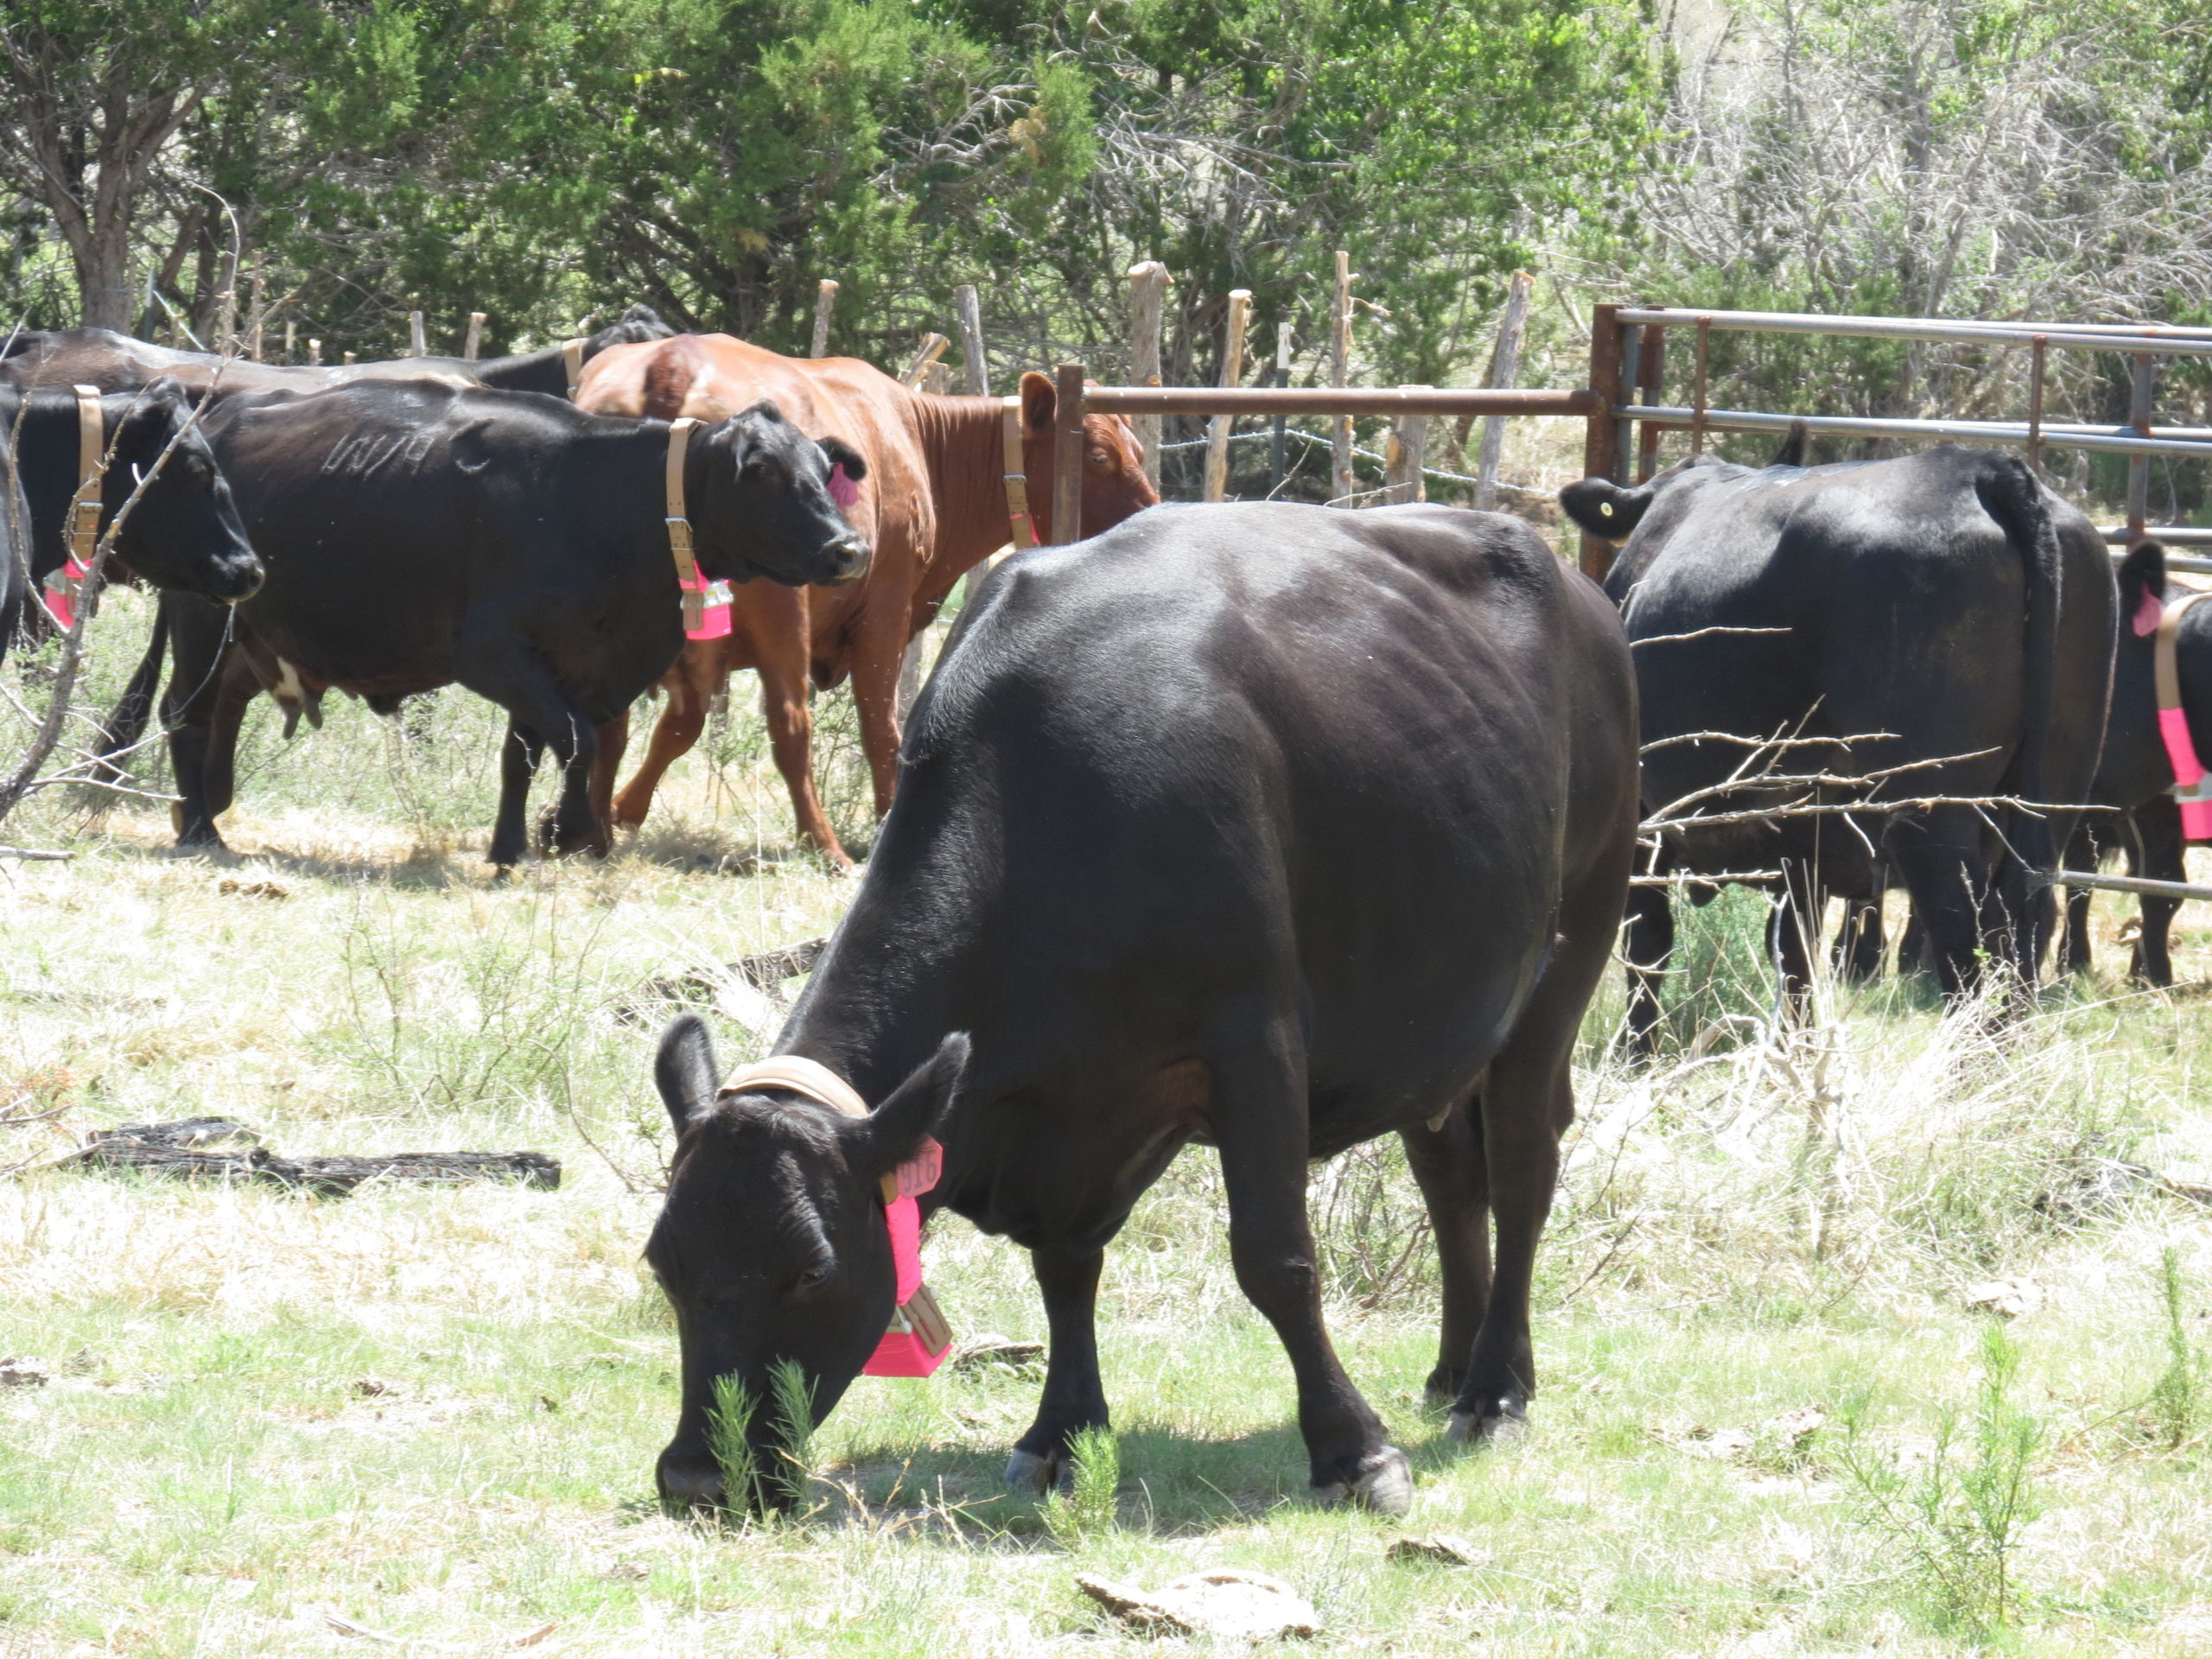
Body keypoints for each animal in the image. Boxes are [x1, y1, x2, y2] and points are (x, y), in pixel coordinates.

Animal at [122, 381, 867, 866]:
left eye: (821, 467)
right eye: (762, 470)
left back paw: (203, 806)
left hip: (254, 633)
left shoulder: (557, 662)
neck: (603, 504)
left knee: (225, 706)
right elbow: (577, 740)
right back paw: (201, 832)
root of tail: (217, 415)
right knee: (185, 711)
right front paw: (567, 830)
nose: (850, 548)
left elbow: (524, 753)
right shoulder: (492, 652)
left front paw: (509, 848)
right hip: (202, 610)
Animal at [573, 334, 1157, 864]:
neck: (919, 439)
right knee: (790, 722)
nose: (1154, 514)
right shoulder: (886, 608)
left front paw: (625, 809)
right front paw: (889, 817)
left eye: (1139, 450)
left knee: (614, 720)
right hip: (783, 609)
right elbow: (881, 724)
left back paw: (590, 830)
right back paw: (824, 844)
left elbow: (679, 725)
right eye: (1098, 456)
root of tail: (674, 362)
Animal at [641, 501, 1640, 1517]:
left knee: (1521, 1168)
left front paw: (1353, 1449)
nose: (696, 1475)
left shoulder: (1255, 1037)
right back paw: (1450, 1370)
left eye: (811, 1267)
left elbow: (1275, 1258)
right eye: (664, 1263)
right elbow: (1063, 1267)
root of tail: (1580, 584)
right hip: (1438, 1021)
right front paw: (1060, 1434)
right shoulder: (1066, 1113)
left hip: (1572, 951)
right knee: (1448, 1174)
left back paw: (1495, 1389)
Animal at [1561, 441, 2115, 1054]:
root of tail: (1977, 467)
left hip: (1931, 811)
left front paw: (1635, 1054)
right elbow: (1793, 949)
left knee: (1964, 942)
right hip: (2053, 796)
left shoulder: (1643, 816)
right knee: (2023, 929)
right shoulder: (1802, 840)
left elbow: (1648, 938)